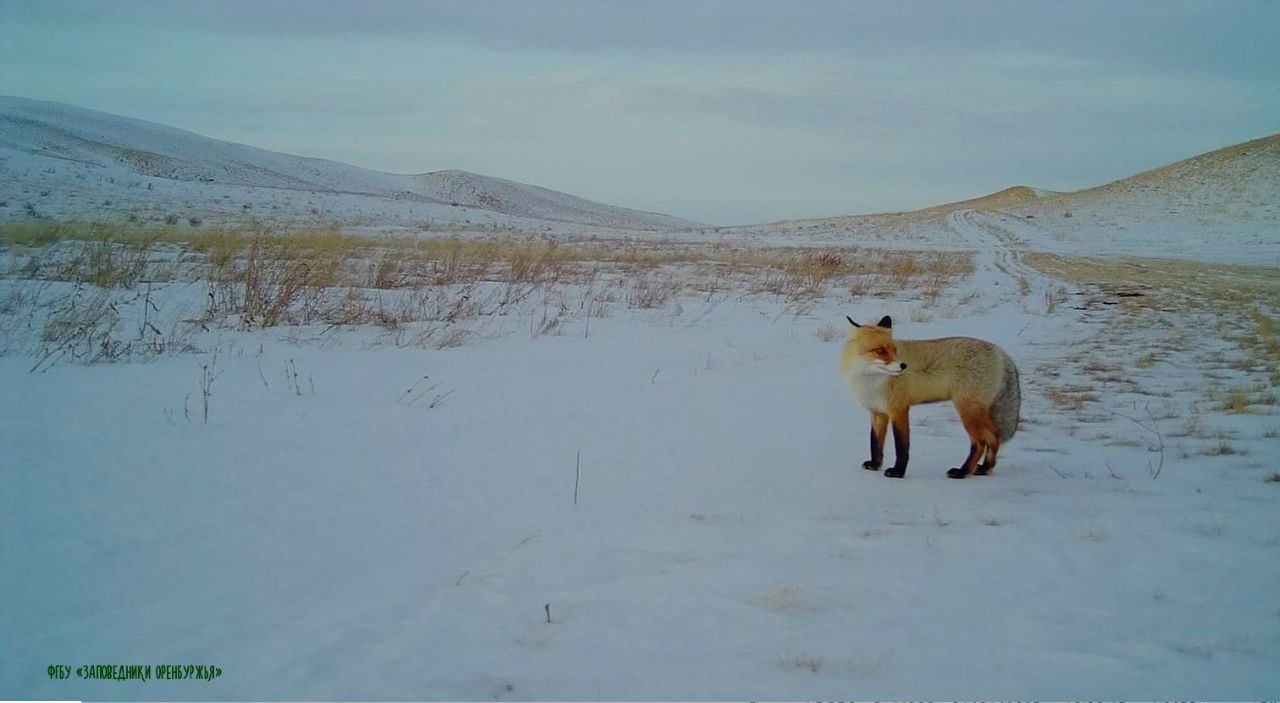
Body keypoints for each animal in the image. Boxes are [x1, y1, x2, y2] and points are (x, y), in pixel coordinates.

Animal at [839, 316, 1018, 476]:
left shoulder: (899, 409)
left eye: (895, 350)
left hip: (968, 411)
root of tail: (1001, 353)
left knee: (981, 442)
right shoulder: (877, 411)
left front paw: (898, 472)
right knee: (994, 436)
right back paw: (984, 468)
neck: (870, 381)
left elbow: (902, 445)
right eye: (880, 350)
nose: (903, 366)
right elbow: (875, 442)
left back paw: (962, 472)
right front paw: (875, 465)